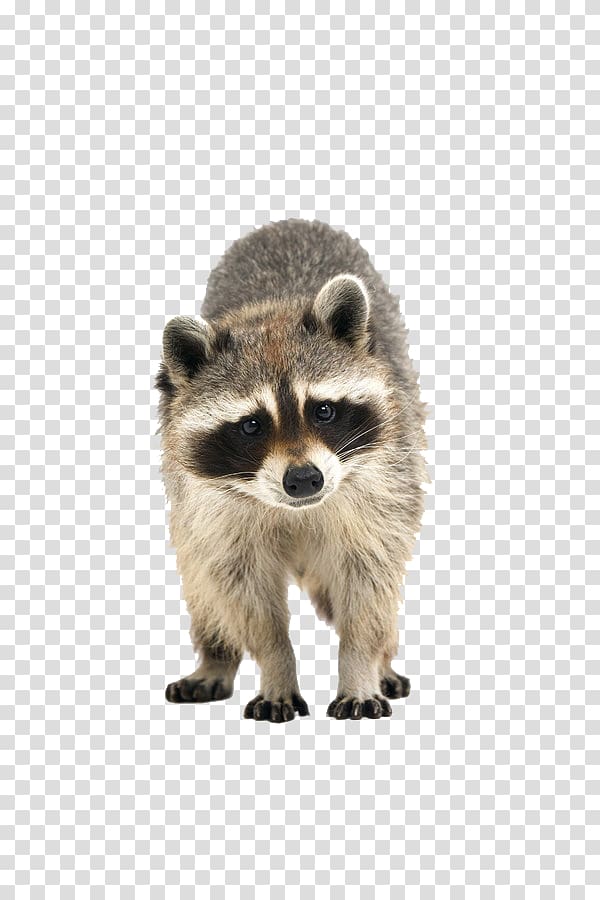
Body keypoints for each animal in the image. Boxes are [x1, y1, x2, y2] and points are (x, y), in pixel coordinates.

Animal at [156, 218, 427, 722]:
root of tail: (288, 223)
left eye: (323, 411)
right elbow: (242, 591)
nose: (304, 480)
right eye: (251, 425)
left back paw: (382, 660)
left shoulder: (383, 488)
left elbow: (369, 584)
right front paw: (276, 667)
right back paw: (215, 657)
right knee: (202, 583)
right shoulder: (212, 509)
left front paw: (360, 665)